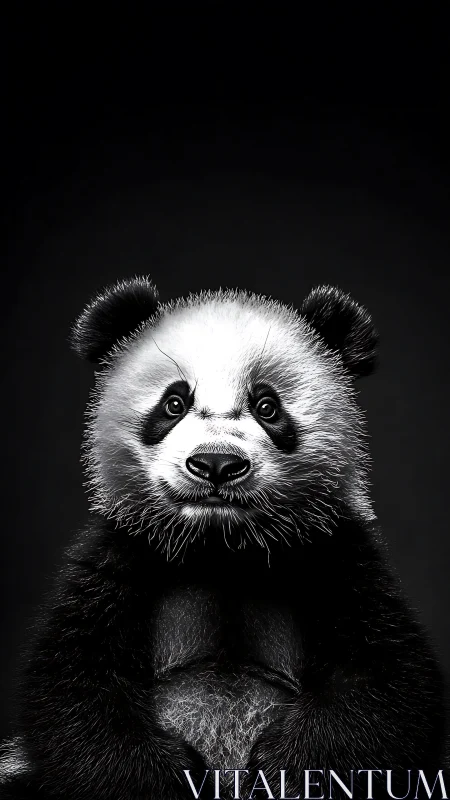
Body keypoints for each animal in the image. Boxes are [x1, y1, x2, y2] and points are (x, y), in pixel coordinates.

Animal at [0, 277, 446, 800]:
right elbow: (74, 688)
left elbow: (385, 680)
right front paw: (170, 780)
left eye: (267, 406)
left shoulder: (334, 552)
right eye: (174, 403)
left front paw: (284, 772)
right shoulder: (120, 556)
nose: (216, 463)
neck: (221, 545)